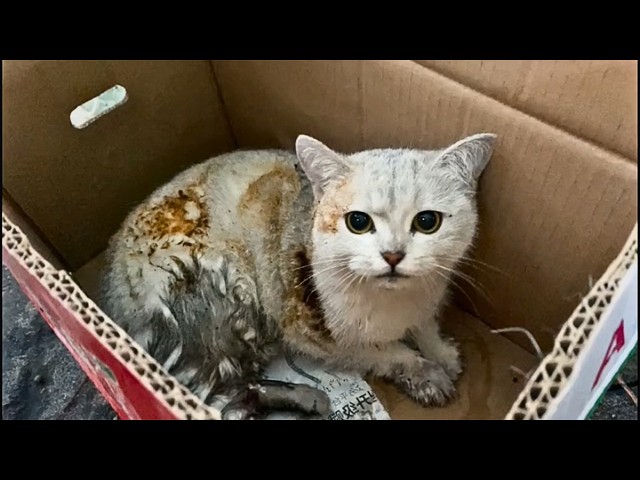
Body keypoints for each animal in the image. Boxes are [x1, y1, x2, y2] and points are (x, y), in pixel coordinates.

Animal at [102, 133, 498, 418]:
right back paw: (308, 396)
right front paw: (425, 373)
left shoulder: (430, 294)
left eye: (427, 221)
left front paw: (441, 352)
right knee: (223, 396)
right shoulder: (311, 330)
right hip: (224, 305)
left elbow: (424, 324)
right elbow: (384, 352)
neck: (395, 302)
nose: (393, 255)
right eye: (358, 222)